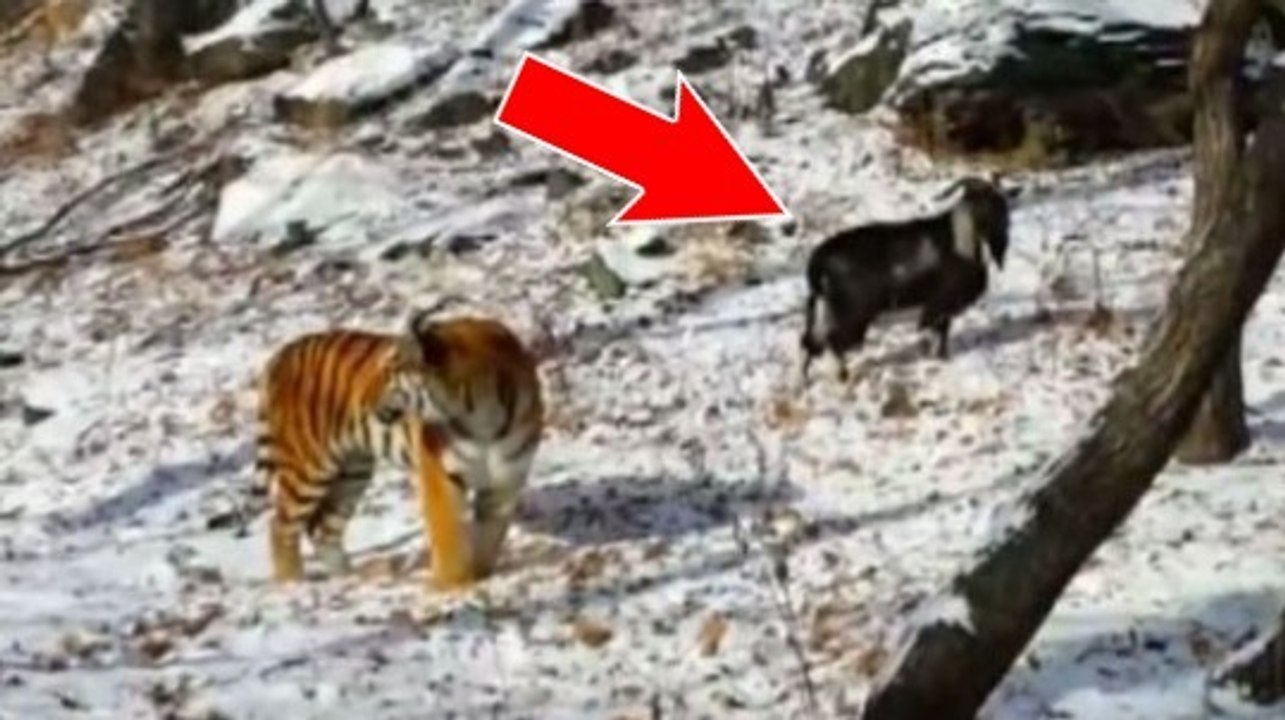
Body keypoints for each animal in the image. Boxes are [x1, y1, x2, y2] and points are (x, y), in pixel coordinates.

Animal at [254, 309, 544, 591]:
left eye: (389, 371)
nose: (364, 402)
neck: (482, 418)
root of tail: (282, 353)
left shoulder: (505, 480)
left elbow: (490, 536)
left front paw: (482, 576)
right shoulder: (439, 476)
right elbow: (447, 533)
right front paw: (452, 586)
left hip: (352, 472)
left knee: (323, 529)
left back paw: (349, 580)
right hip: (309, 467)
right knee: (280, 527)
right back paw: (291, 585)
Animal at [800, 175, 1018, 383]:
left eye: (1001, 203)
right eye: (984, 202)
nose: (1003, 233)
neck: (959, 242)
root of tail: (819, 259)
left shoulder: (941, 311)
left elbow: (941, 334)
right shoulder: (939, 305)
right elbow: (937, 334)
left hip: (827, 310)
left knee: (811, 342)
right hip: (852, 314)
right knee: (832, 342)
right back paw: (842, 376)